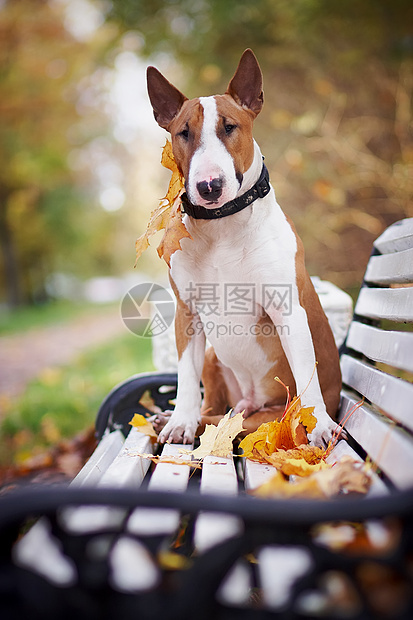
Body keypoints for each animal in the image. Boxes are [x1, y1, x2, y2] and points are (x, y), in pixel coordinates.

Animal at [146, 48, 340, 446]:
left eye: (229, 127)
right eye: (183, 133)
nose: (209, 186)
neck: (221, 226)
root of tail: (250, 401)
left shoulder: (288, 310)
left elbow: (306, 371)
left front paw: (321, 426)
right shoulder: (187, 312)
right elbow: (185, 377)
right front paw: (179, 420)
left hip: (273, 416)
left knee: (233, 421)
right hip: (213, 359)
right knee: (213, 412)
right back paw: (173, 421)